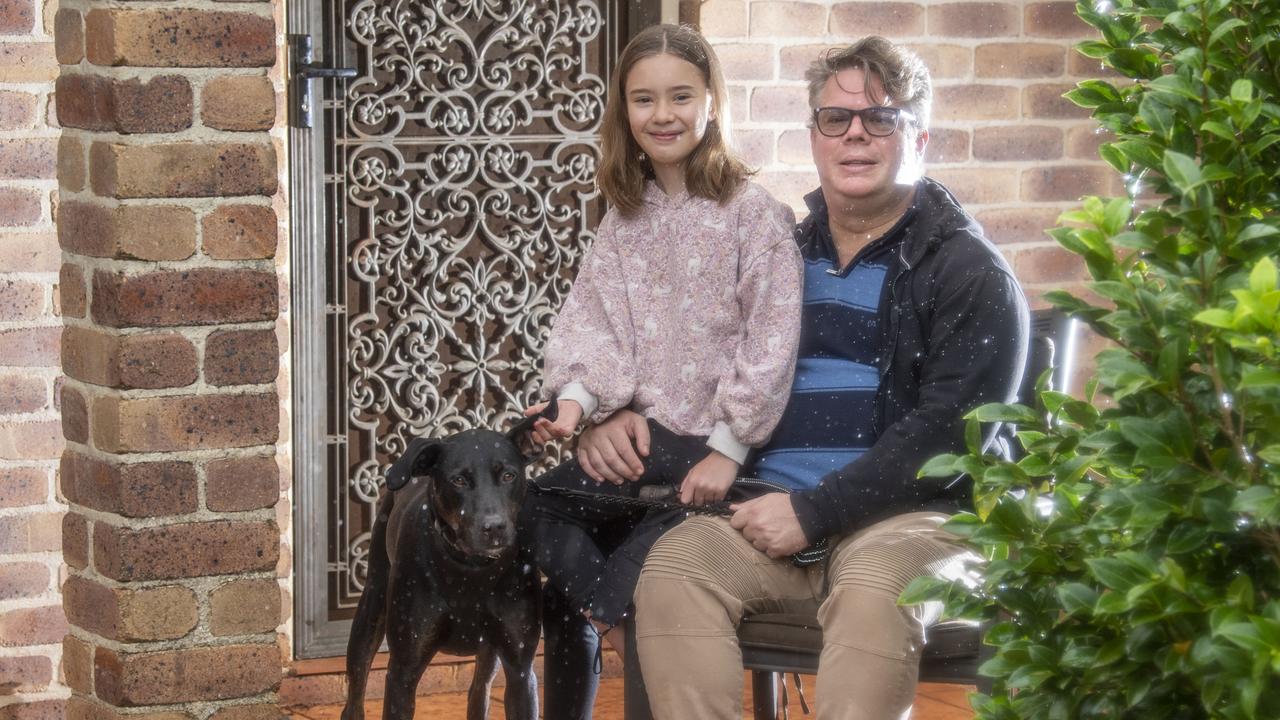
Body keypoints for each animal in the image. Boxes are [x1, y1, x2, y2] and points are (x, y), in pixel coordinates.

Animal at [343, 404, 558, 717]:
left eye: (508, 475)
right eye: (459, 480)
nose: (494, 527)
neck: (472, 567)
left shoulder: (520, 669)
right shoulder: (403, 671)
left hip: (489, 652)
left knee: (478, 691)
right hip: (371, 605)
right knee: (355, 692)